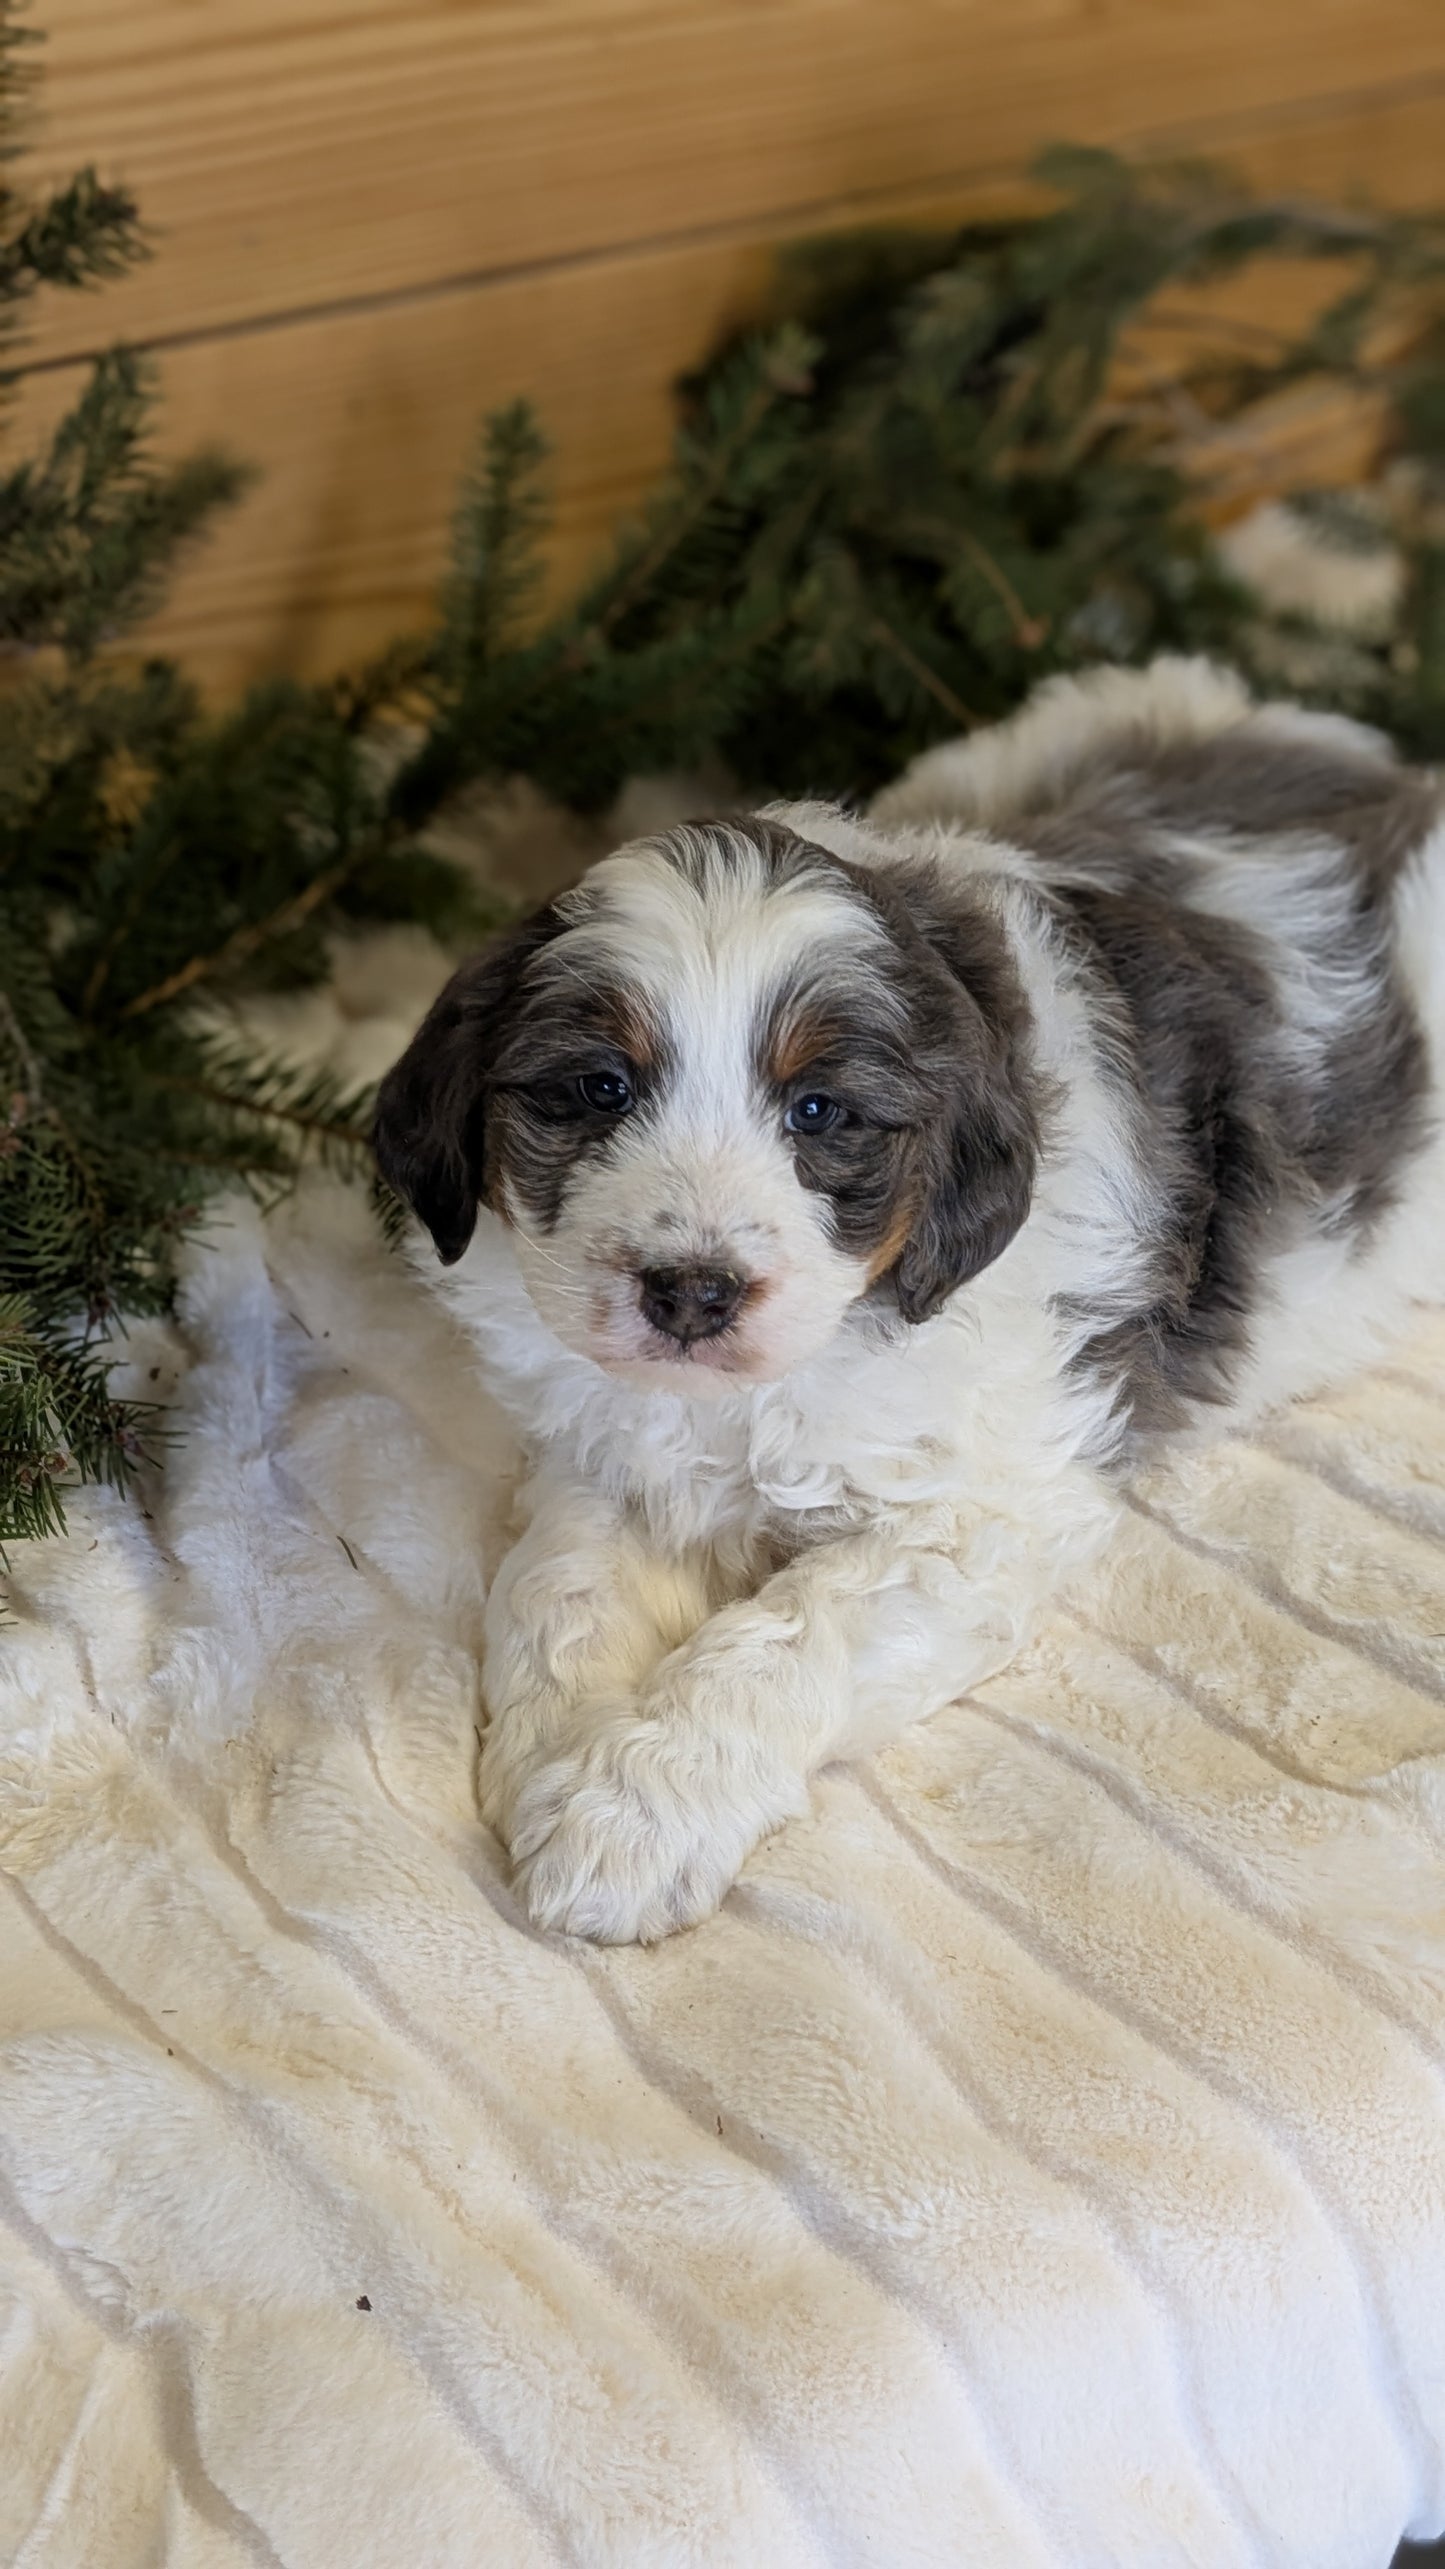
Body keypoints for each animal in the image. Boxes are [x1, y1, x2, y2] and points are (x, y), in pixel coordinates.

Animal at [372, 662, 1439, 1942]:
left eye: (818, 1112)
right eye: (597, 1088)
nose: (691, 1293)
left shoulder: (980, 1515)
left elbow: (786, 1640)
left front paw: (627, 1815)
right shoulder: (608, 1445)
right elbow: (558, 1586)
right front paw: (553, 1756)